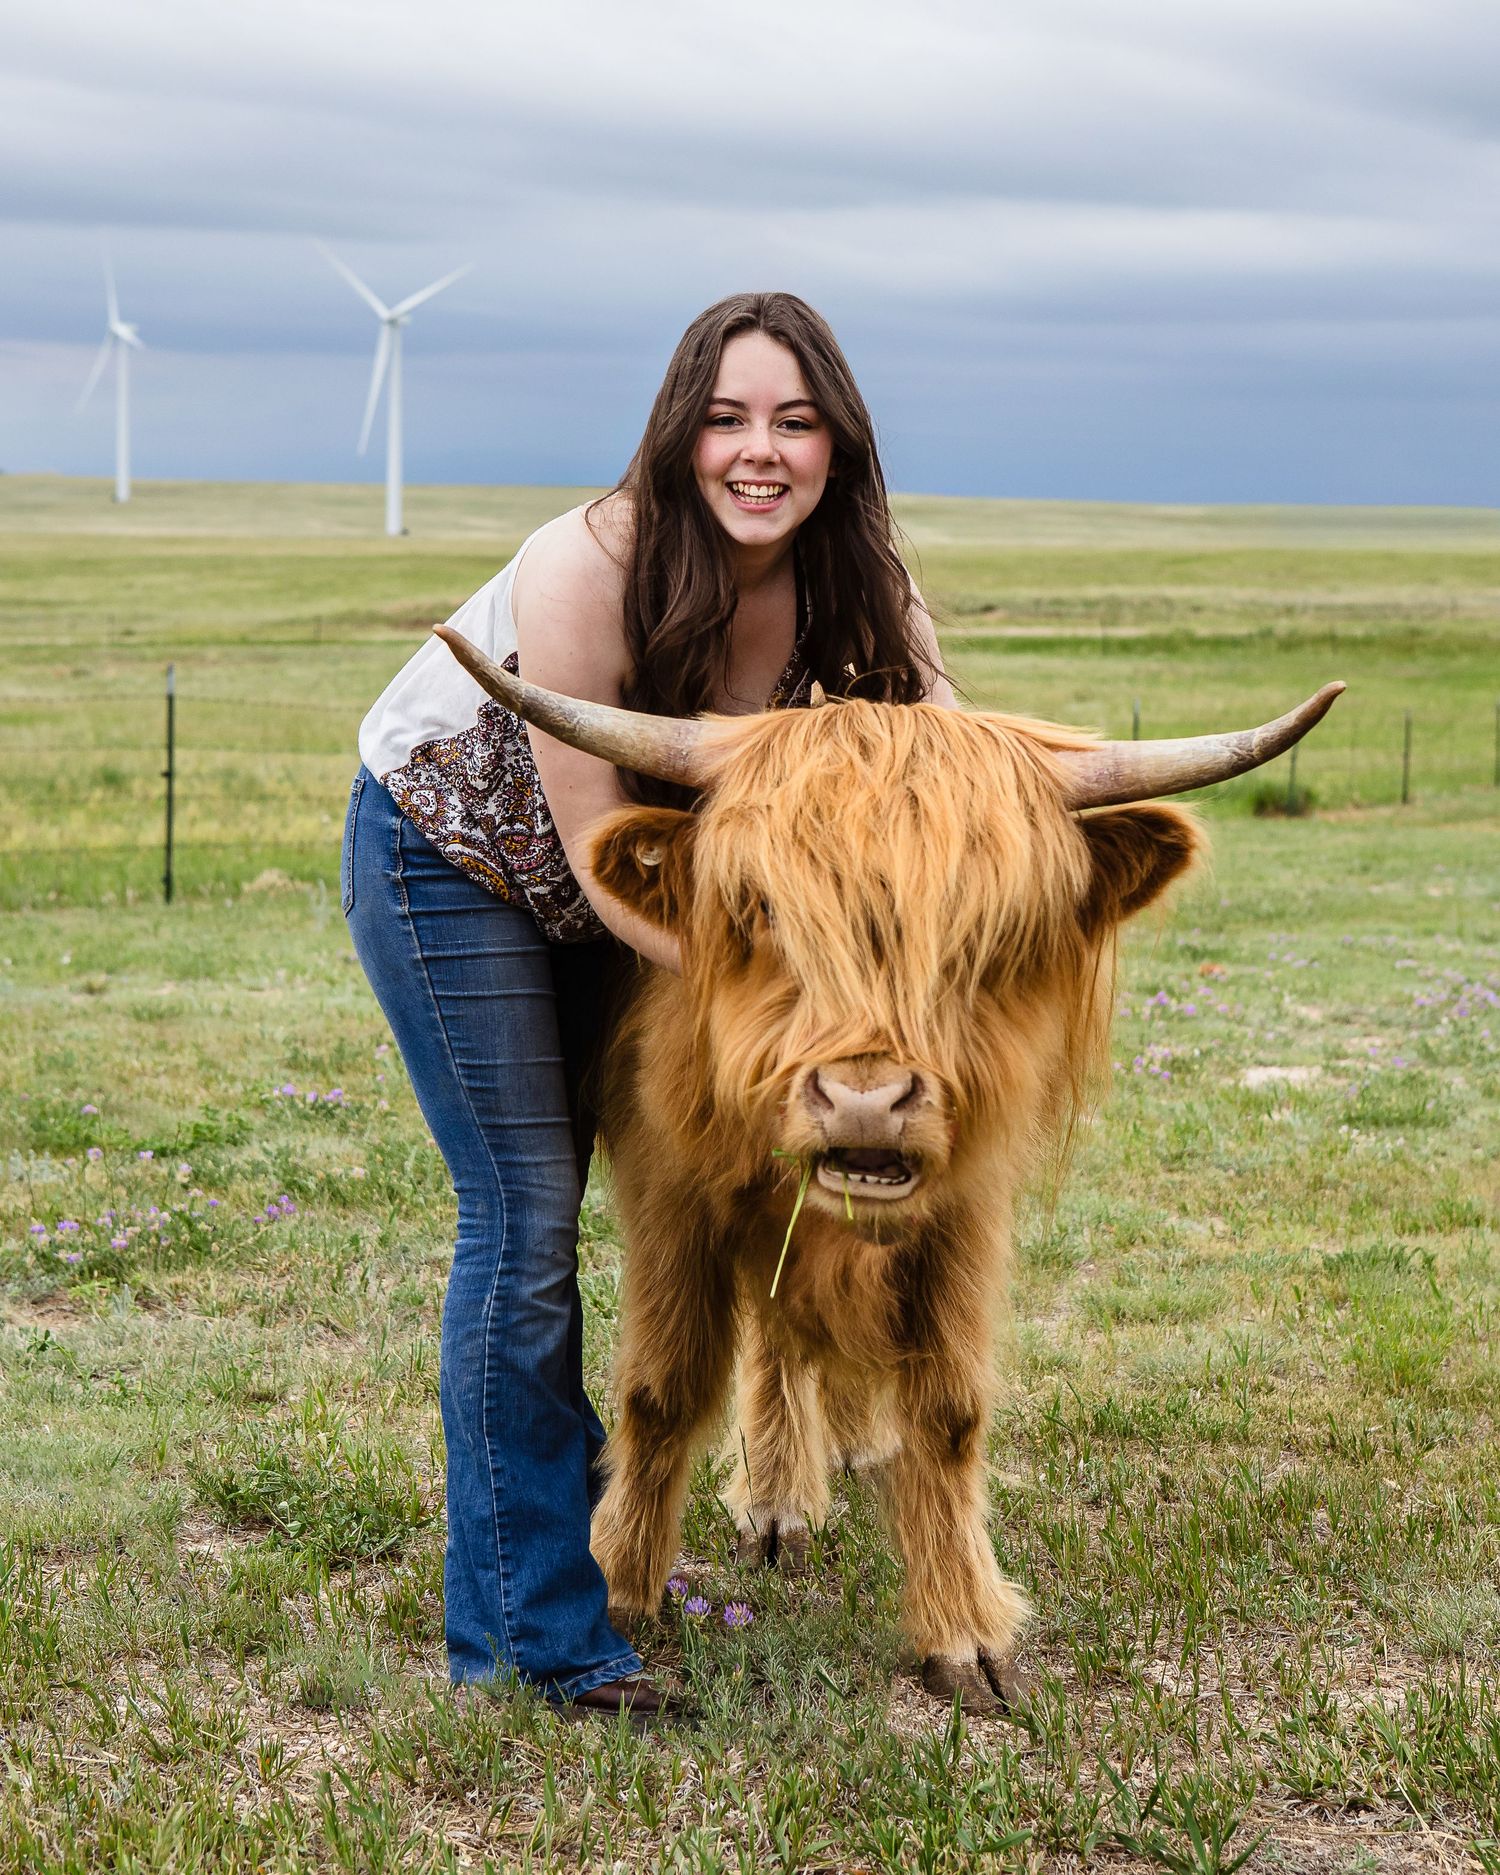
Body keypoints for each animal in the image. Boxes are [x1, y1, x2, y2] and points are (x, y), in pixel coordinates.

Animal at [436, 625, 1341, 1712]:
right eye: (759, 910)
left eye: (992, 931)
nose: (864, 1102)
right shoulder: (673, 1192)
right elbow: (663, 1388)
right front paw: (616, 1587)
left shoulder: (962, 1212)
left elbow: (947, 1411)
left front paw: (964, 1632)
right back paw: (777, 1502)